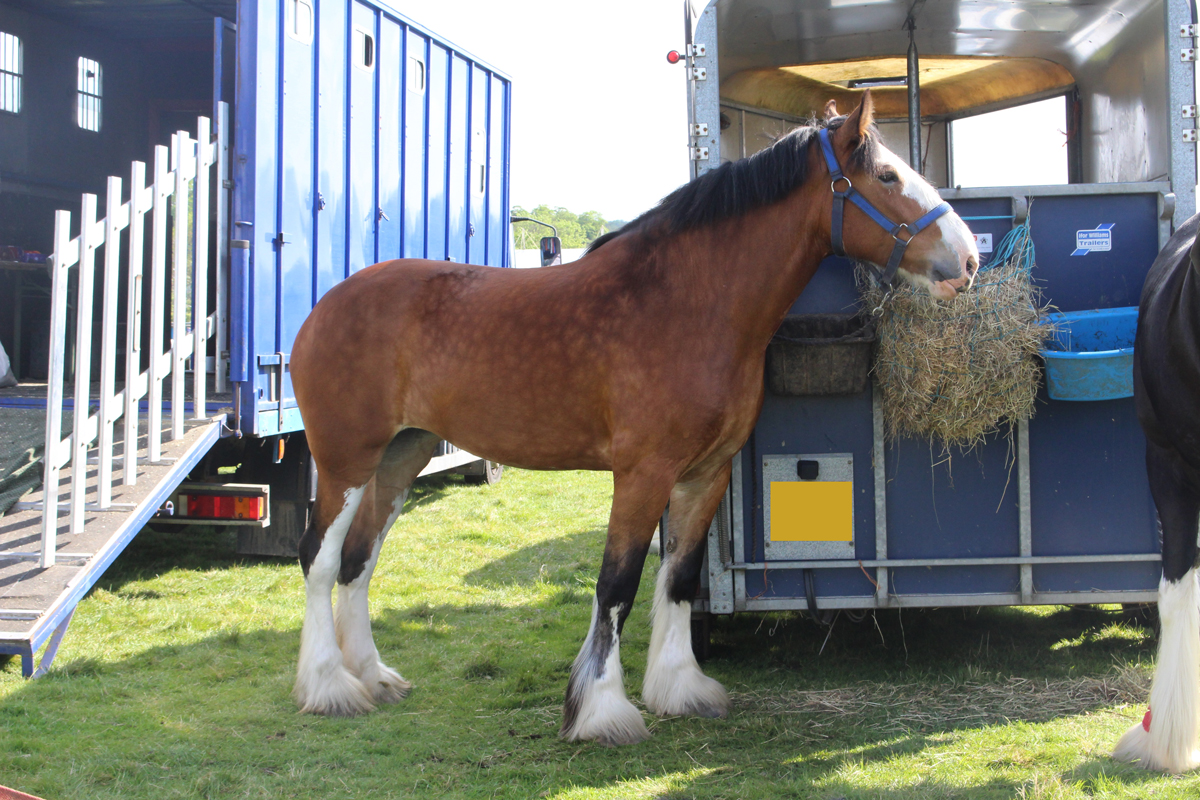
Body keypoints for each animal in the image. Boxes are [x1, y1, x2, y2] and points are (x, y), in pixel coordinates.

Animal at [288, 92, 974, 743]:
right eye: (886, 175)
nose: (966, 260)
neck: (684, 301)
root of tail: (321, 309)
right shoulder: (643, 473)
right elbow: (617, 586)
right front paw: (601, 712)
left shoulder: (706, 473)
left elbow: (678, 578)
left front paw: (681, 689)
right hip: (345, 462)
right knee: (319, 559)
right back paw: (330, 687)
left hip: (400, 457)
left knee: (358, 560)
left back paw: (373, 677)